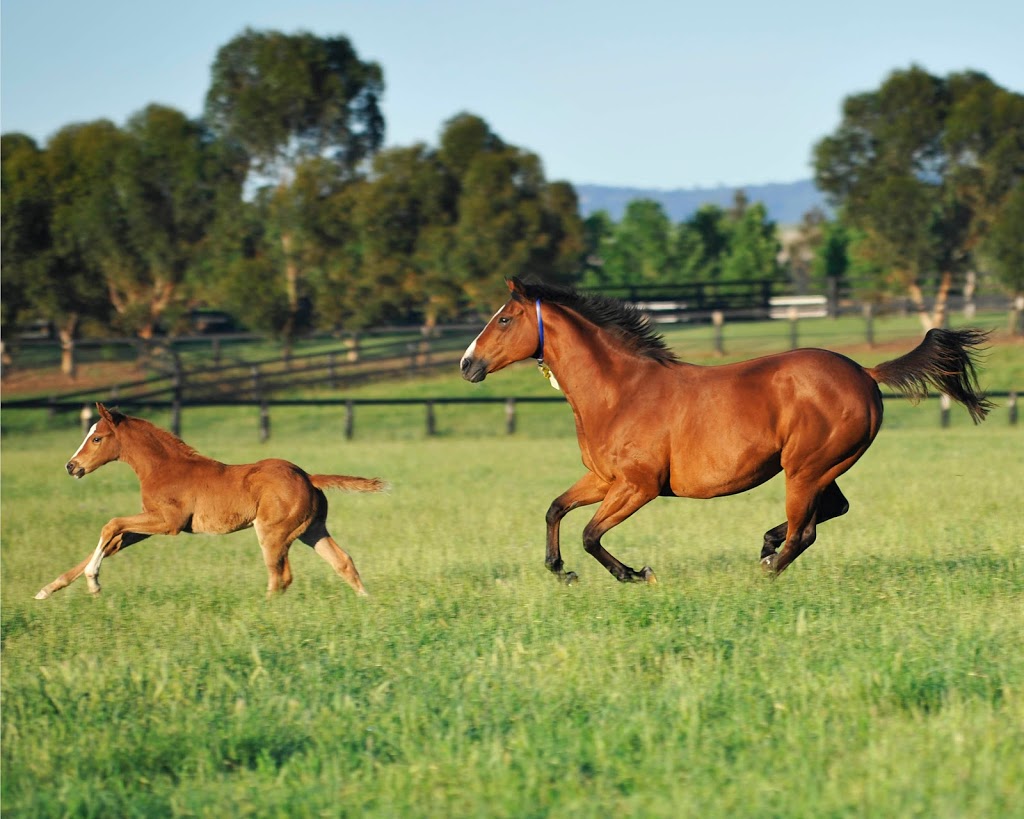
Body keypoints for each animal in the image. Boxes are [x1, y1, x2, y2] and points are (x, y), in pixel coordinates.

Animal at [36, 405, 385, 597]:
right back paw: (368, 602)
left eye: (96, 438)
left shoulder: (169, 522)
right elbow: (112, 542)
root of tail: (307, 476)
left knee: (280, 576)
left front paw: (93, 583)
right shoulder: (149, 523)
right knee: (343, 562)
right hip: (311, 530)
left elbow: (110, 526)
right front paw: (48, 589)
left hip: (273, 532)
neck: (162, 467)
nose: (71, 467)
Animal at [460, 278, 987, 585]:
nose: (467, 364)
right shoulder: (605, 479)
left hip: (806, 468)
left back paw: (766, 571)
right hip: (822, 468)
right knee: (828, 512)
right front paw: (560, 571)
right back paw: (767, 546)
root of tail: (864, 372)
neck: (619, 391)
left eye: (504, 318)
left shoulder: (638, 486)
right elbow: (555, 509)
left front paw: (635, 574)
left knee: (806, 531)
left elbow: (590, 535)